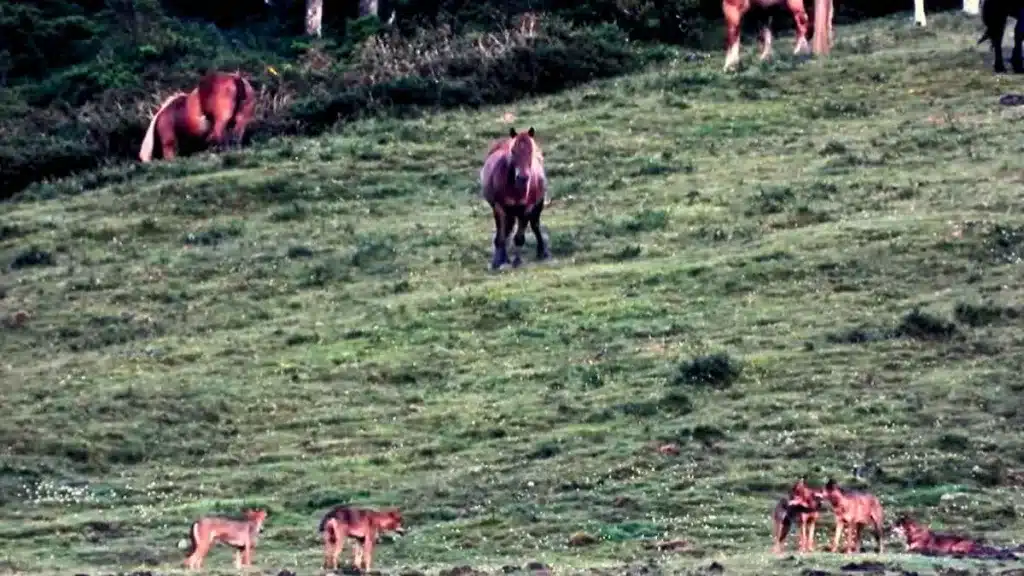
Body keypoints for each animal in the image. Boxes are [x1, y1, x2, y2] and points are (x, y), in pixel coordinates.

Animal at [481, 125, 552, 268]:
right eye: (513, 151)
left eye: (531, 150)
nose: (522, 178)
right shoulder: (499, 207)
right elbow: (501, 236)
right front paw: (497, 262)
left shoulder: (527, 208)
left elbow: (519, 238)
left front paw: (517, 261)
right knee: (505, 231)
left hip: (537, 205)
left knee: (535, 225)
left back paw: (542, 252)